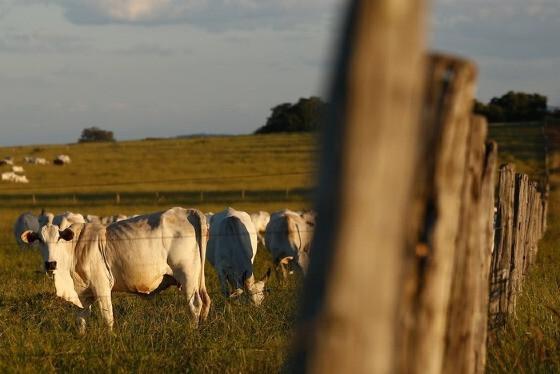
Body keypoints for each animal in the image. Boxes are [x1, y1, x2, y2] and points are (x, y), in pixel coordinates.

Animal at [20, 207, 210, 334]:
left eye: (59, 239)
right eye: (39, 240)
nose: (50, 264)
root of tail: (188, 211)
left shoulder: (102, 287)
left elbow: (107, 318)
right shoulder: (83, 293)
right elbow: (81, 319)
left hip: (187, 277)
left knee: (195, 305)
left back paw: (192, 332)